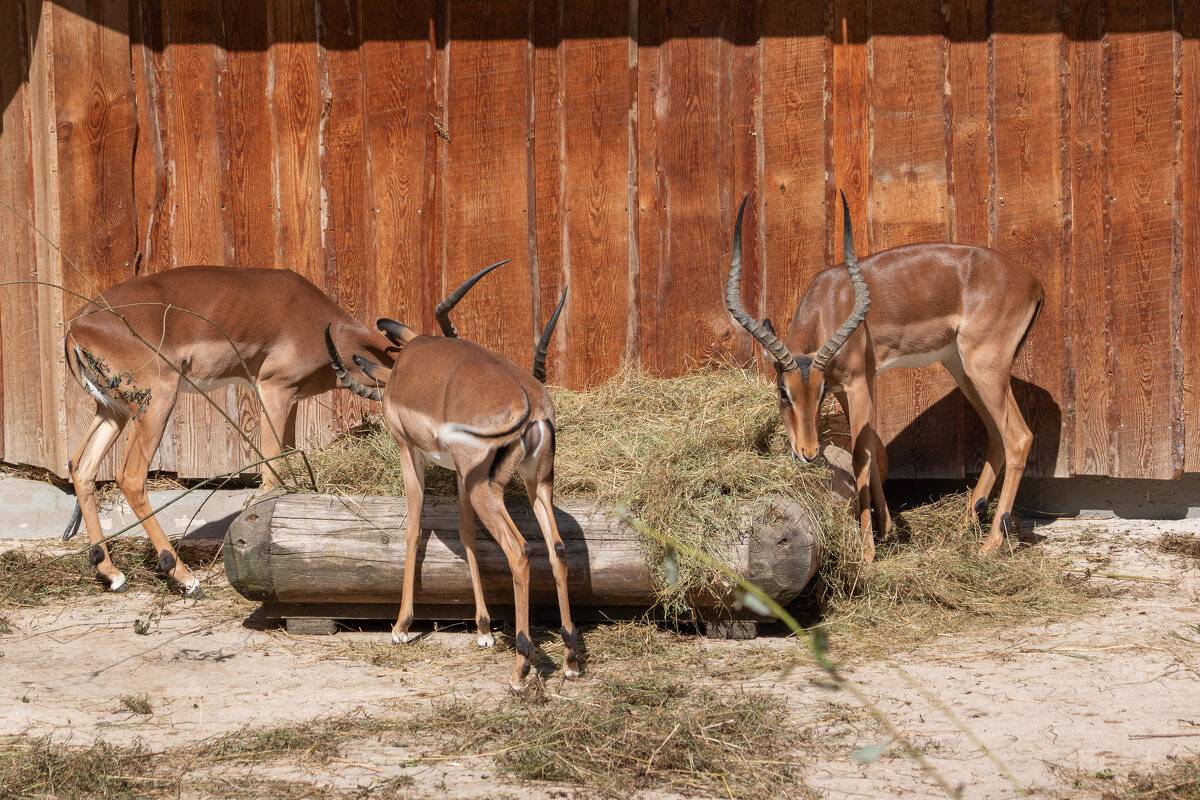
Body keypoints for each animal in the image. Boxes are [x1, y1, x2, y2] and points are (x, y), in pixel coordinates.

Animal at [326, 266, 573, 690]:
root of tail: (533, 406)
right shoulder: (459, 472)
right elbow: (466, 533)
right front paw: (484, 630)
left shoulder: (409, 451)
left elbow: (413, 527)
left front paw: (401, 626)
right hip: (536, 484)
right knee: (557, 549)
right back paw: (572, 657)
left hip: (487, 492)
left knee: (520, 551)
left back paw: (520, 669)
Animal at [724, 191, 1046, 563]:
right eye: (783, 392)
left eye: (818, 395)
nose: (808, 452)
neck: (828, 304)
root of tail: (1034, 283)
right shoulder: (848, 388)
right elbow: (877, 452)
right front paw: (888, 529)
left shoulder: (858, 383)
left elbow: (861, 457)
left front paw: (867, 551)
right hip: (961, 368)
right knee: (996, 435)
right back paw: (964, 523)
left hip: (985, 368)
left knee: (1018, 437)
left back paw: (990, 543)